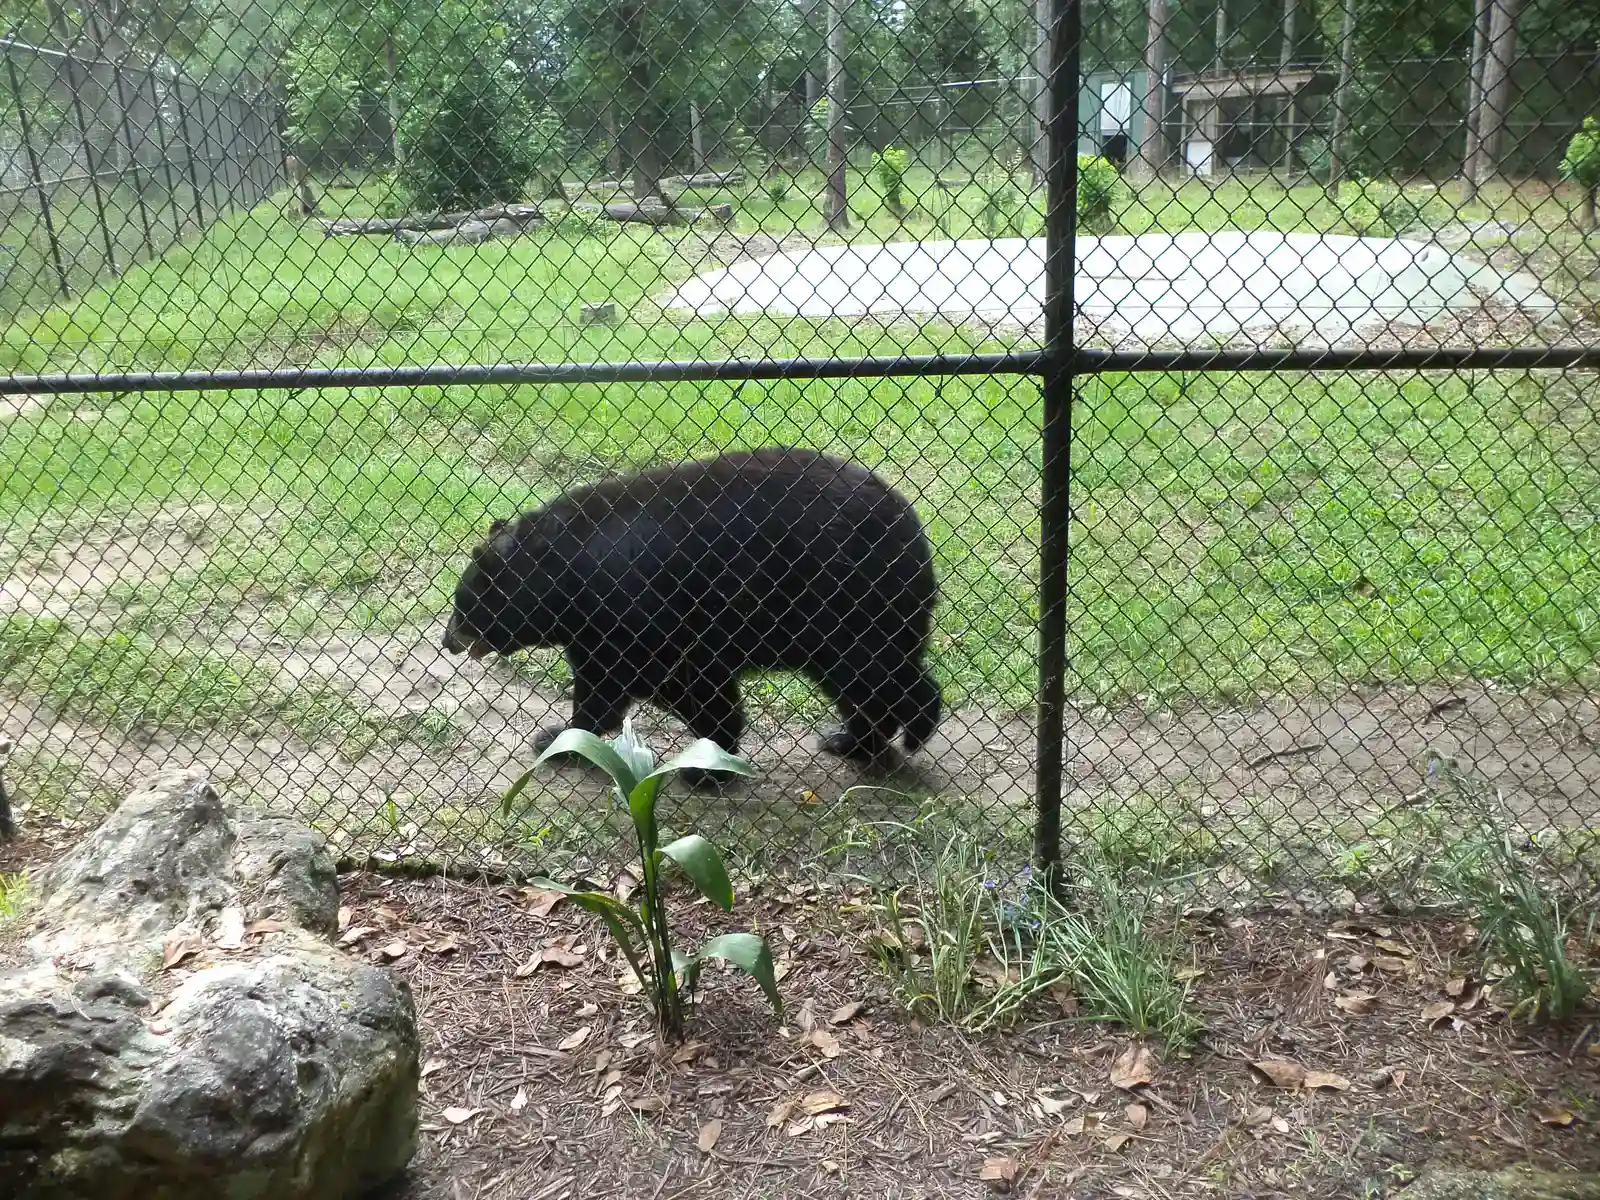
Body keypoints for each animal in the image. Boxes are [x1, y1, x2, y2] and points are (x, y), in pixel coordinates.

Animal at [441, 446, 943, 778]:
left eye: (463, 604)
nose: (448, 640)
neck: (564, 574)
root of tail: (910, 522)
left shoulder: (638, 609)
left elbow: (662, 680)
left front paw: (707, 762)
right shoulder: (598, 629)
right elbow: (614, 684)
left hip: (847, 596)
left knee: (875, 672)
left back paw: (910, 729)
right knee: (858, 682)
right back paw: (850, 739)